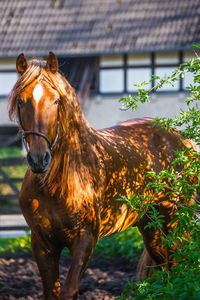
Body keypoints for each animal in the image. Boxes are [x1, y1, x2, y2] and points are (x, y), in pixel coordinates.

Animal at [8, 52, 195, 298]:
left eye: (56, 101)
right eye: (21, 101)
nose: (39, 159)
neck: (59, 182)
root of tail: (183, 140)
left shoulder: (85, 239)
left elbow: (69, 291)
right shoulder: (42, 244)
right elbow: (52, 292)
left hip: (173, 221)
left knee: (176, 265)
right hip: (150, 225)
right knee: (164, 268)